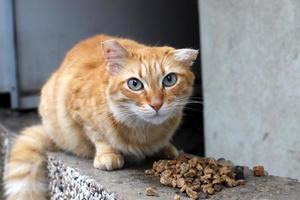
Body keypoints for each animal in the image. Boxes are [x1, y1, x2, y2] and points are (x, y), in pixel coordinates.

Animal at [4, 34, 198, 200]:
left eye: (169, 80)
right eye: (134, 84)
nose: (156, 104)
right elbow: (99, 137)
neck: (145, 130)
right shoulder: (78, 112)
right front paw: (108, 154)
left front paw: (165, 147)